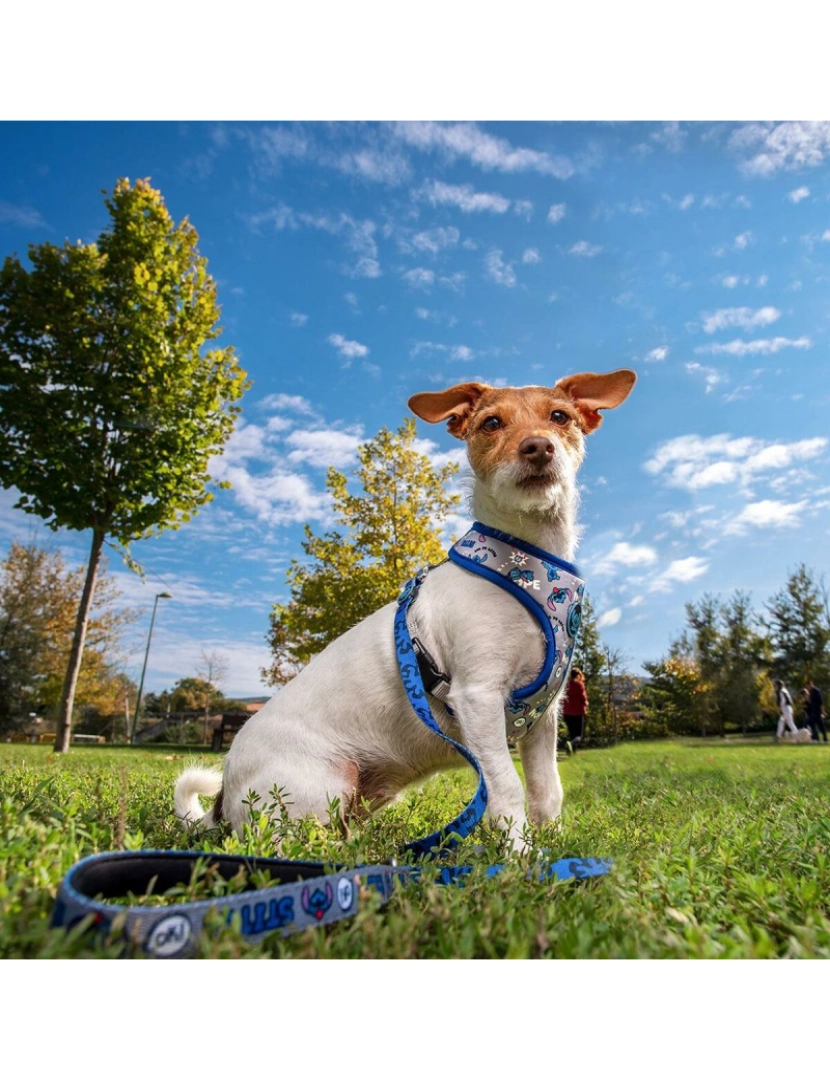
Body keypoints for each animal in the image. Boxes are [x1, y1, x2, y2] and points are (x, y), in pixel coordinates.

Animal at [177, 371, 634, 851]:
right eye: (491, 423)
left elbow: (548, 791)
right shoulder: (478, 698)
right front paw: (519, 855)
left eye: (560, 417)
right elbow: (506, 788)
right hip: (320, 785)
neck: (527, 565)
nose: (538, 446)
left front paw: (553, 848)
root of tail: (222, 801)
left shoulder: (544, 717)